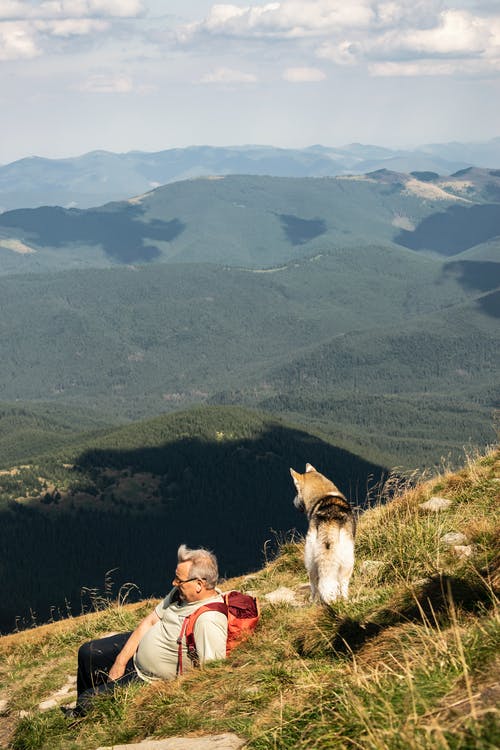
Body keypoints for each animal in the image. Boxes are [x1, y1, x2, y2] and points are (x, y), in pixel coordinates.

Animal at [290, 464, 356, 604]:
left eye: (297, 491)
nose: (293, 502)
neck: (324, 493)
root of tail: (329, 520)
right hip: (348, 560)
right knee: (341, 584)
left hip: (310, 558)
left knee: (315, 584)